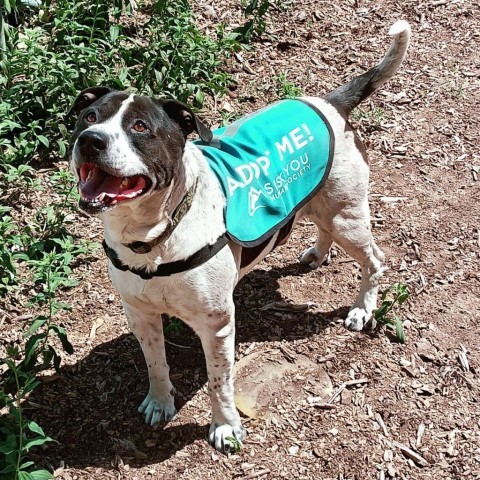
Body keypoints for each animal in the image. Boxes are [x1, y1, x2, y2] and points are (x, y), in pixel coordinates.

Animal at [68, 19, 412, 454]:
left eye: (140, 127)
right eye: (89, 116)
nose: (90, 139)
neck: (155, 240)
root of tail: (330, 103)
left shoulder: (217, 325)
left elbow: (220, 383)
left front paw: (226, 427)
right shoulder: (140, 314)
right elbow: (156, 363)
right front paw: (160, 402)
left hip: (348, 218)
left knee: (374, 261)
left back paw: (363, 309)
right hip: (324, 207)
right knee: (322, 227)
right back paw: (317, 254)